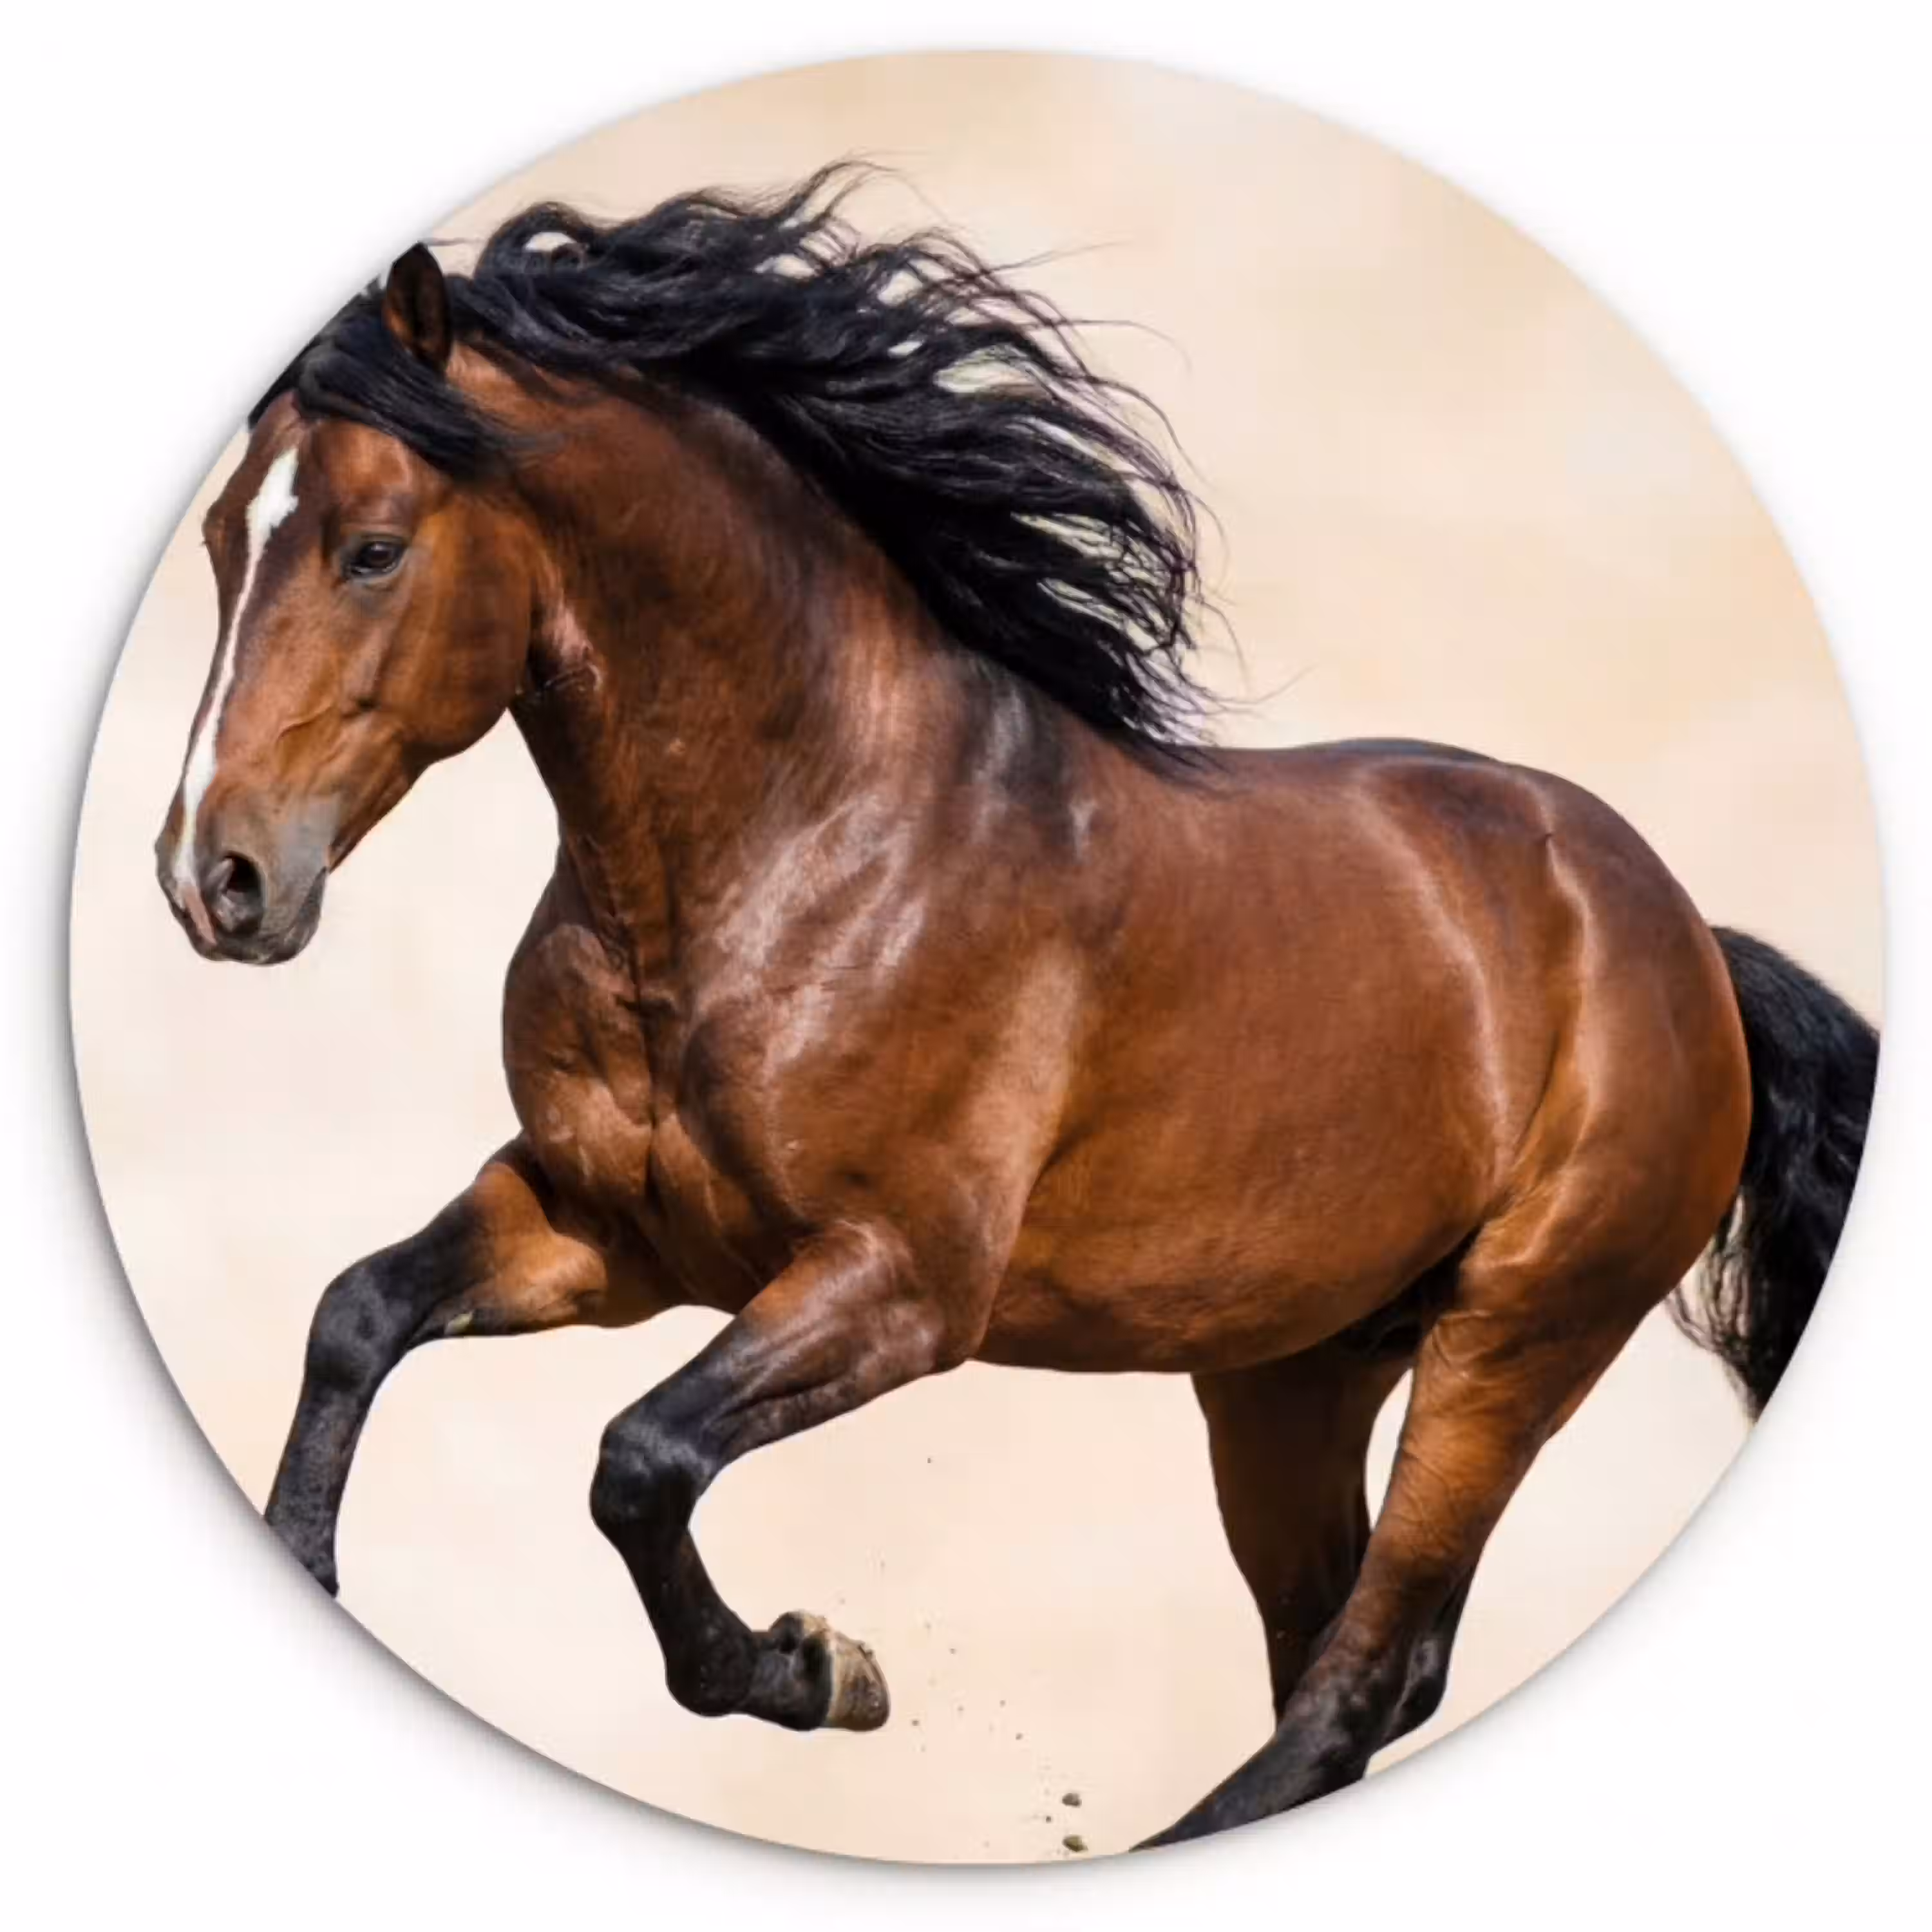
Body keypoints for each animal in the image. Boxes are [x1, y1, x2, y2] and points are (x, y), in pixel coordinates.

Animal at [154, 168, 1877, 1848]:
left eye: (374, 547)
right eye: (228, 540)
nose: (211, 877)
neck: (798, 845)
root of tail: (1685, 939)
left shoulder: (900, 1285)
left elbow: (638, 1462)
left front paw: (817, 1668)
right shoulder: (605, 1229)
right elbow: (356, 1316)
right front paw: (311, 1567)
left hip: (1514, 1337)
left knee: (1369, 1675)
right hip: (1291, 1374)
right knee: (1327, 1661)